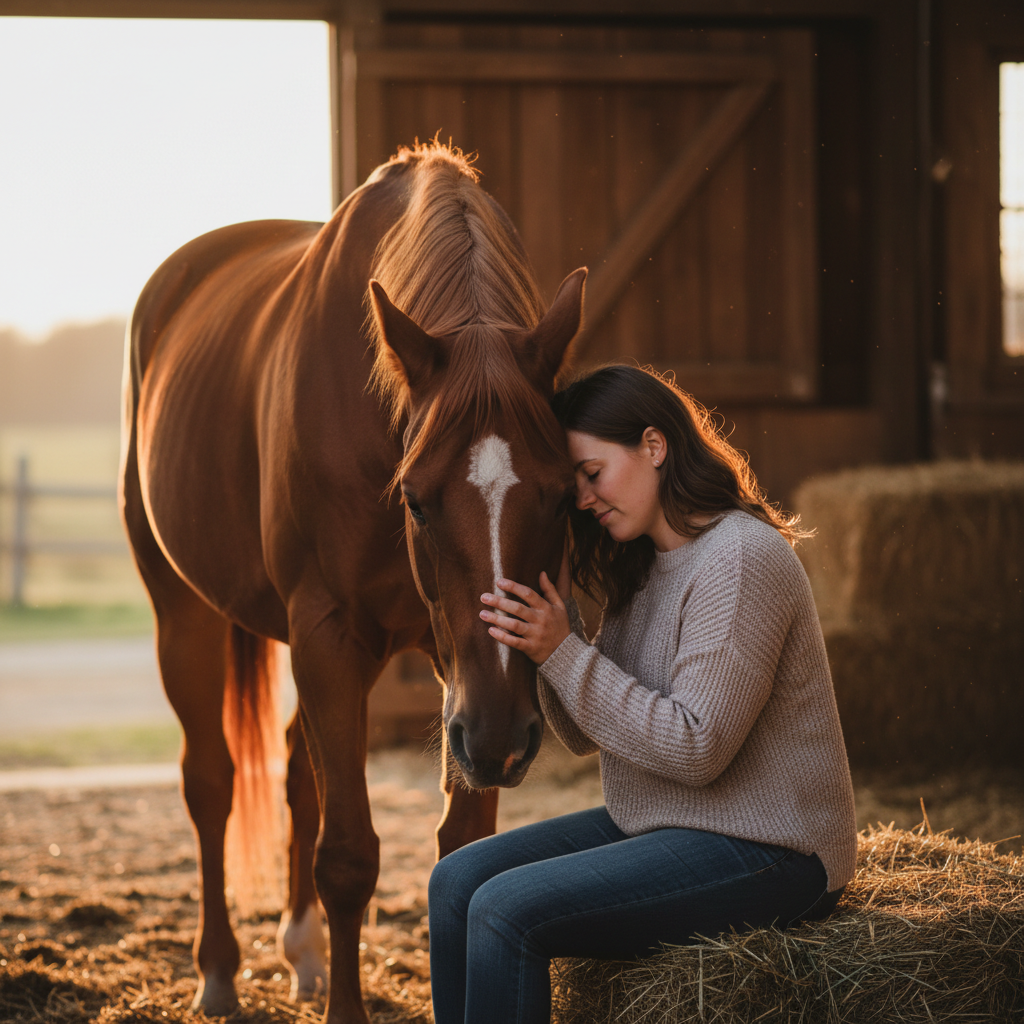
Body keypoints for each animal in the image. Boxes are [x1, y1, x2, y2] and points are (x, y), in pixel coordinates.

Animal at [119, 140, 586, 1024]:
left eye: (563, 493)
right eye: (418, 499)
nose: (503, 738)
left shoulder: (452, 674)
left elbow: (460, 847)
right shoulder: (331, 633)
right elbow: (347, 857)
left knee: (298, 775)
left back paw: (299, 952)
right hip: (185, 616)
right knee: (211, 782)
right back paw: (219, 972)